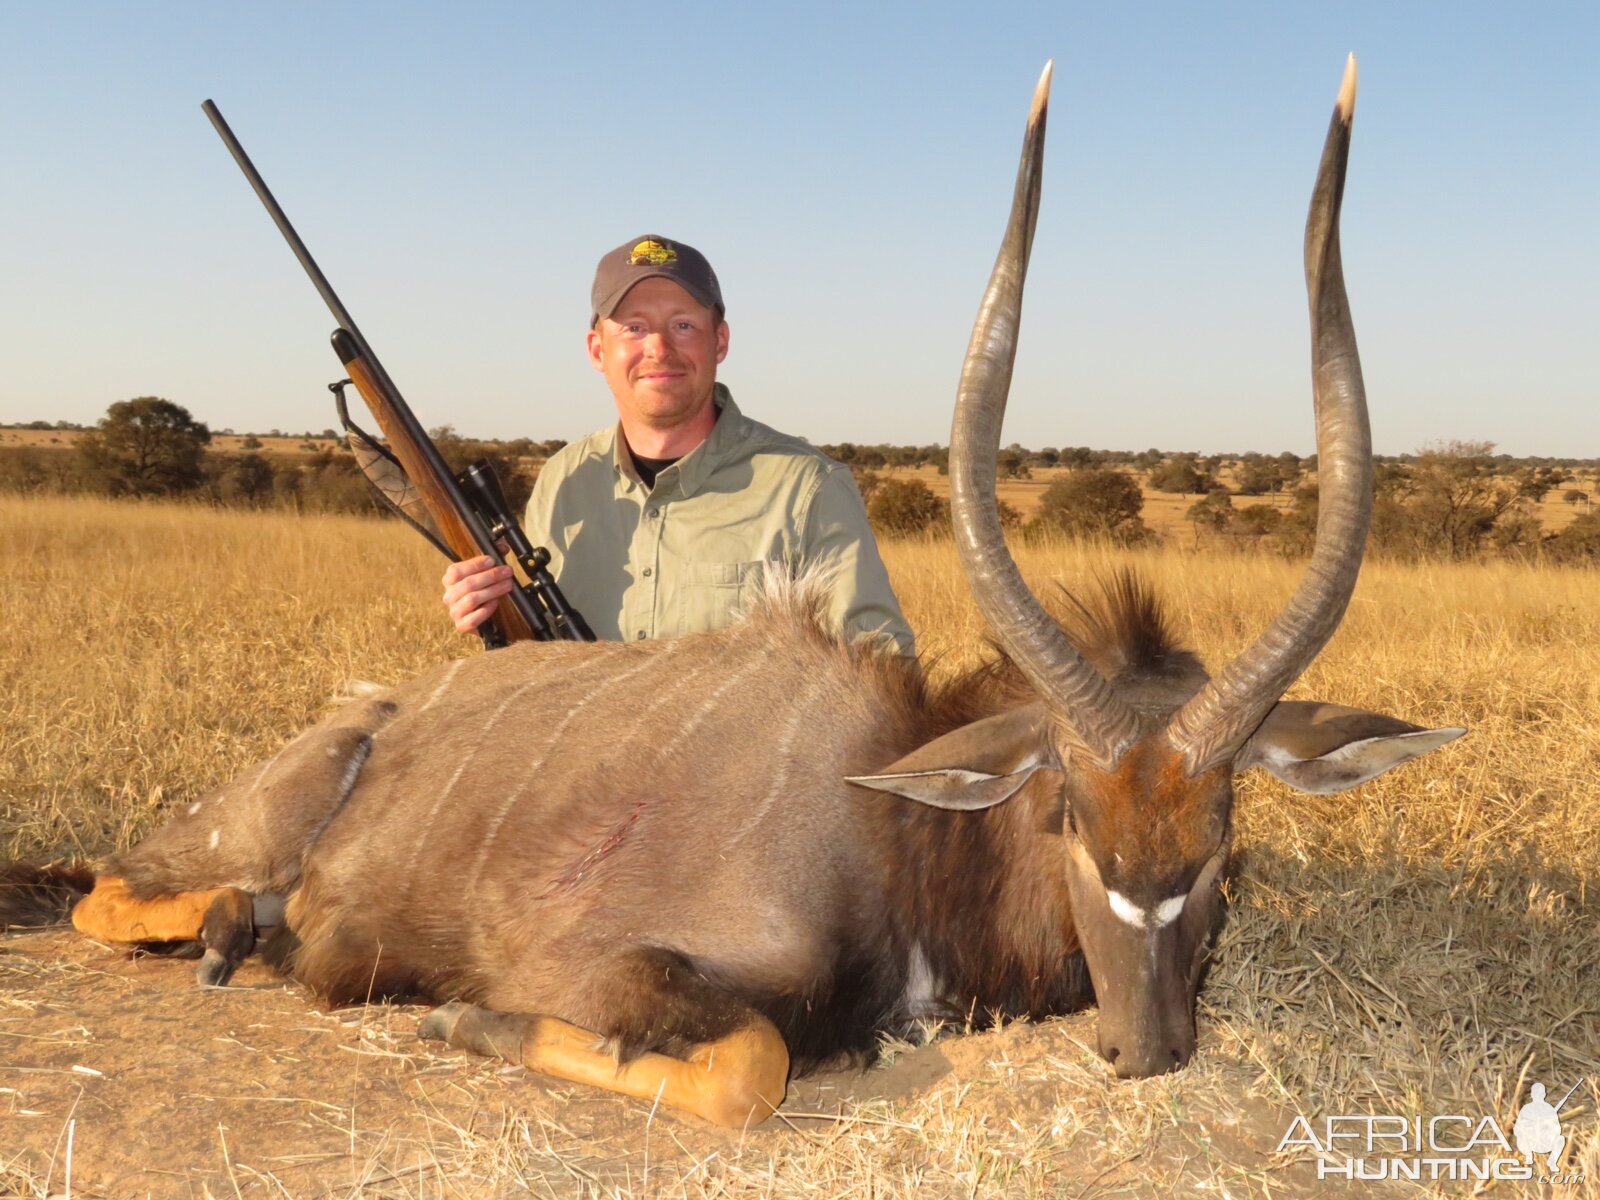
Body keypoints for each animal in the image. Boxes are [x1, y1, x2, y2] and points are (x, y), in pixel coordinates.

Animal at [0, 56, 1465, 1126]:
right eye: (1065, 814)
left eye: (1222, 832)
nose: (1150, 1049)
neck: (889, 822)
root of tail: (381, 710)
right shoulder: (623, 969)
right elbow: (749, 1065)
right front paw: (463, 1017)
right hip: (255, 815)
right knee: (107, 891)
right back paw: (237, 932)